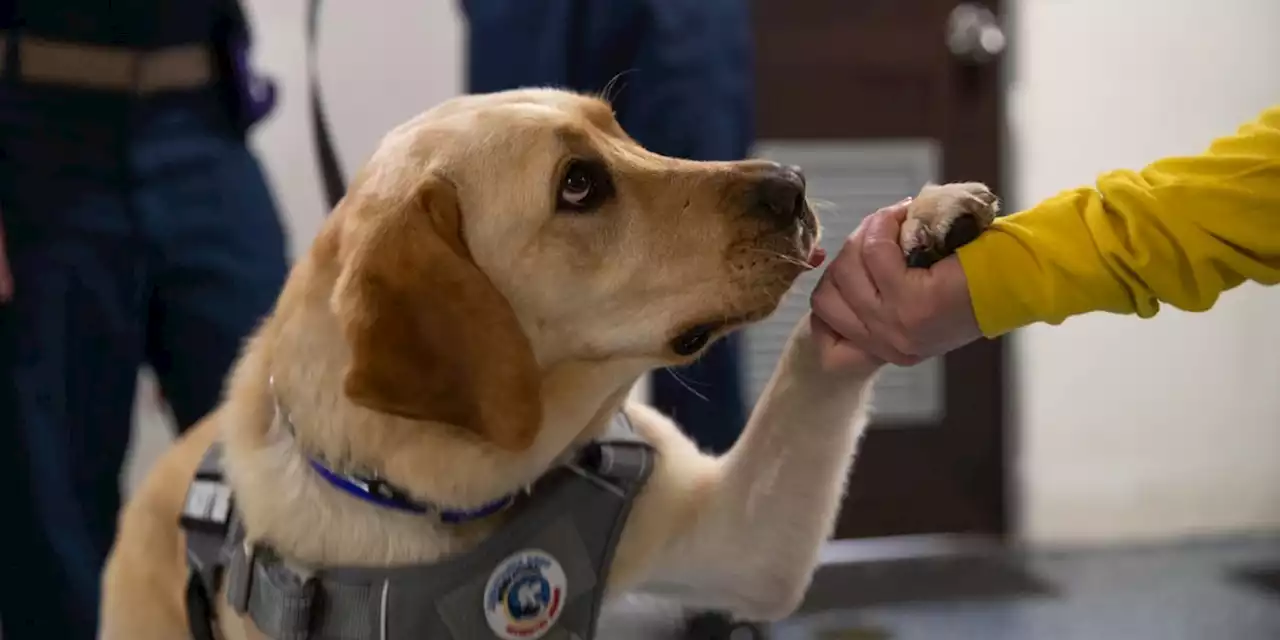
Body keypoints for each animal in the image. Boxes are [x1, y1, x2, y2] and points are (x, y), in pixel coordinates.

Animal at [102, 87, 998, 637]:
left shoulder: (742, 546)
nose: (791, 182)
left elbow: (813, 365)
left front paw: (920, 221)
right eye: (578, 185)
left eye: (620, 130)